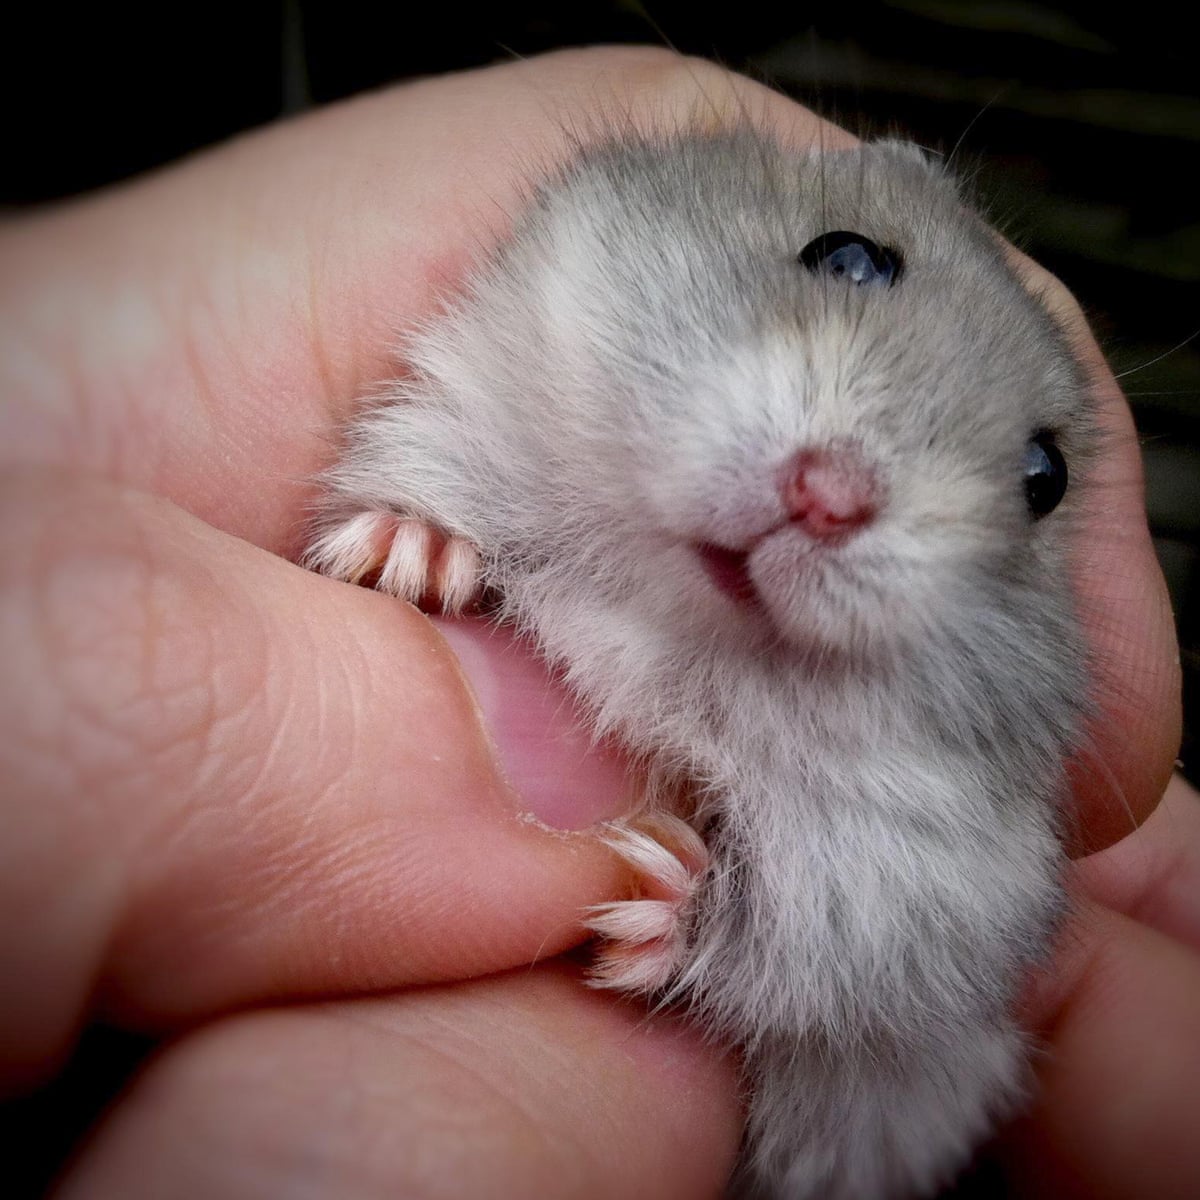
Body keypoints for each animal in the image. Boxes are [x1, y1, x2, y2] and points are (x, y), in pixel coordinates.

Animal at [303, 129, 1093, 1198]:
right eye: (848, 255)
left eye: (1045, 478)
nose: (826, 496)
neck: (671, 614)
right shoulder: (470, 402)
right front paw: (407, 556)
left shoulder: (917, 888)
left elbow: (795, 947)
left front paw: (651, 894)